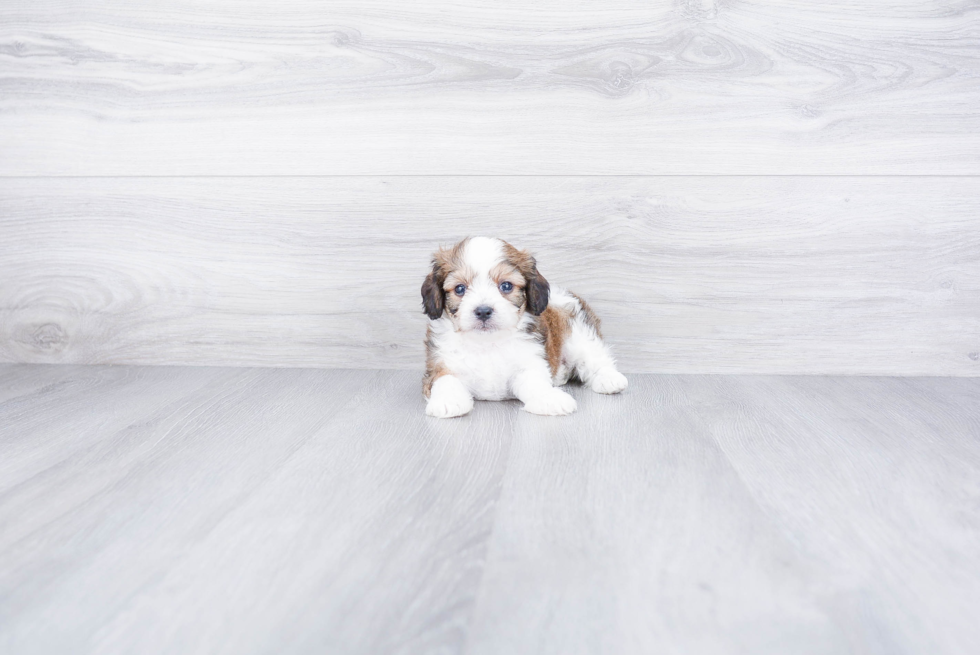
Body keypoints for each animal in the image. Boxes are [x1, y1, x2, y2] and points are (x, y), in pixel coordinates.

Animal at [422, 238, 628, 418]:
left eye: (506, 286)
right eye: (459, 289)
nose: (483, 311)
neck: (487, 343)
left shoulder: (529, 363)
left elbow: (535, 382)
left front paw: (549, 397)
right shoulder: (440, 366)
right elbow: (446, 380)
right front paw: (448, 401)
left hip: (580, 336)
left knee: (595, 358)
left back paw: (609, 379)